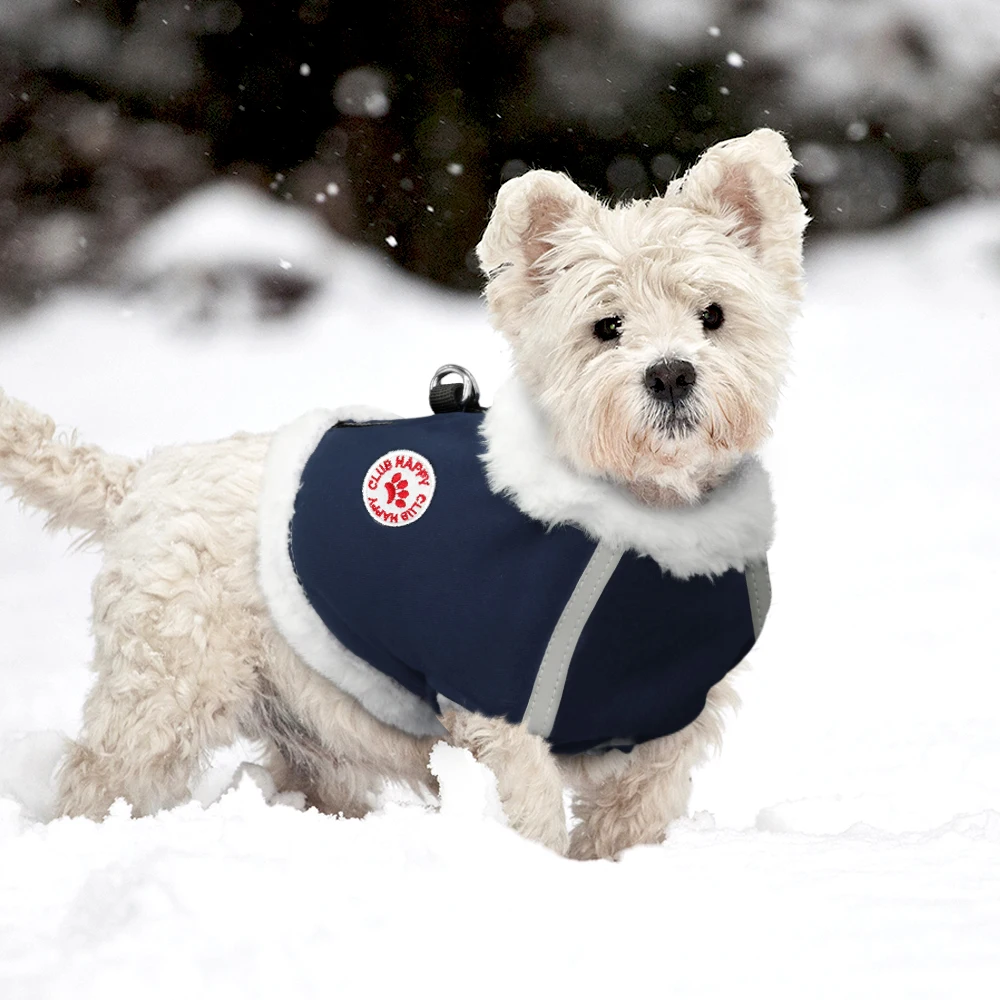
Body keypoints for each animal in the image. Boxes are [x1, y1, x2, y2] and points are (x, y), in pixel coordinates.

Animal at [0, 127, 804, 860]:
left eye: (713, 315)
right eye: (606, 326)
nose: (671, 374)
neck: (646, 522)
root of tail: (140, 478)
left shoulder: (670, 720)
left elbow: (630, 822)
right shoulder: (498, 698)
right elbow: (530, 813)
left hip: (305, 723)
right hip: (167, 689)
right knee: (104, 774)